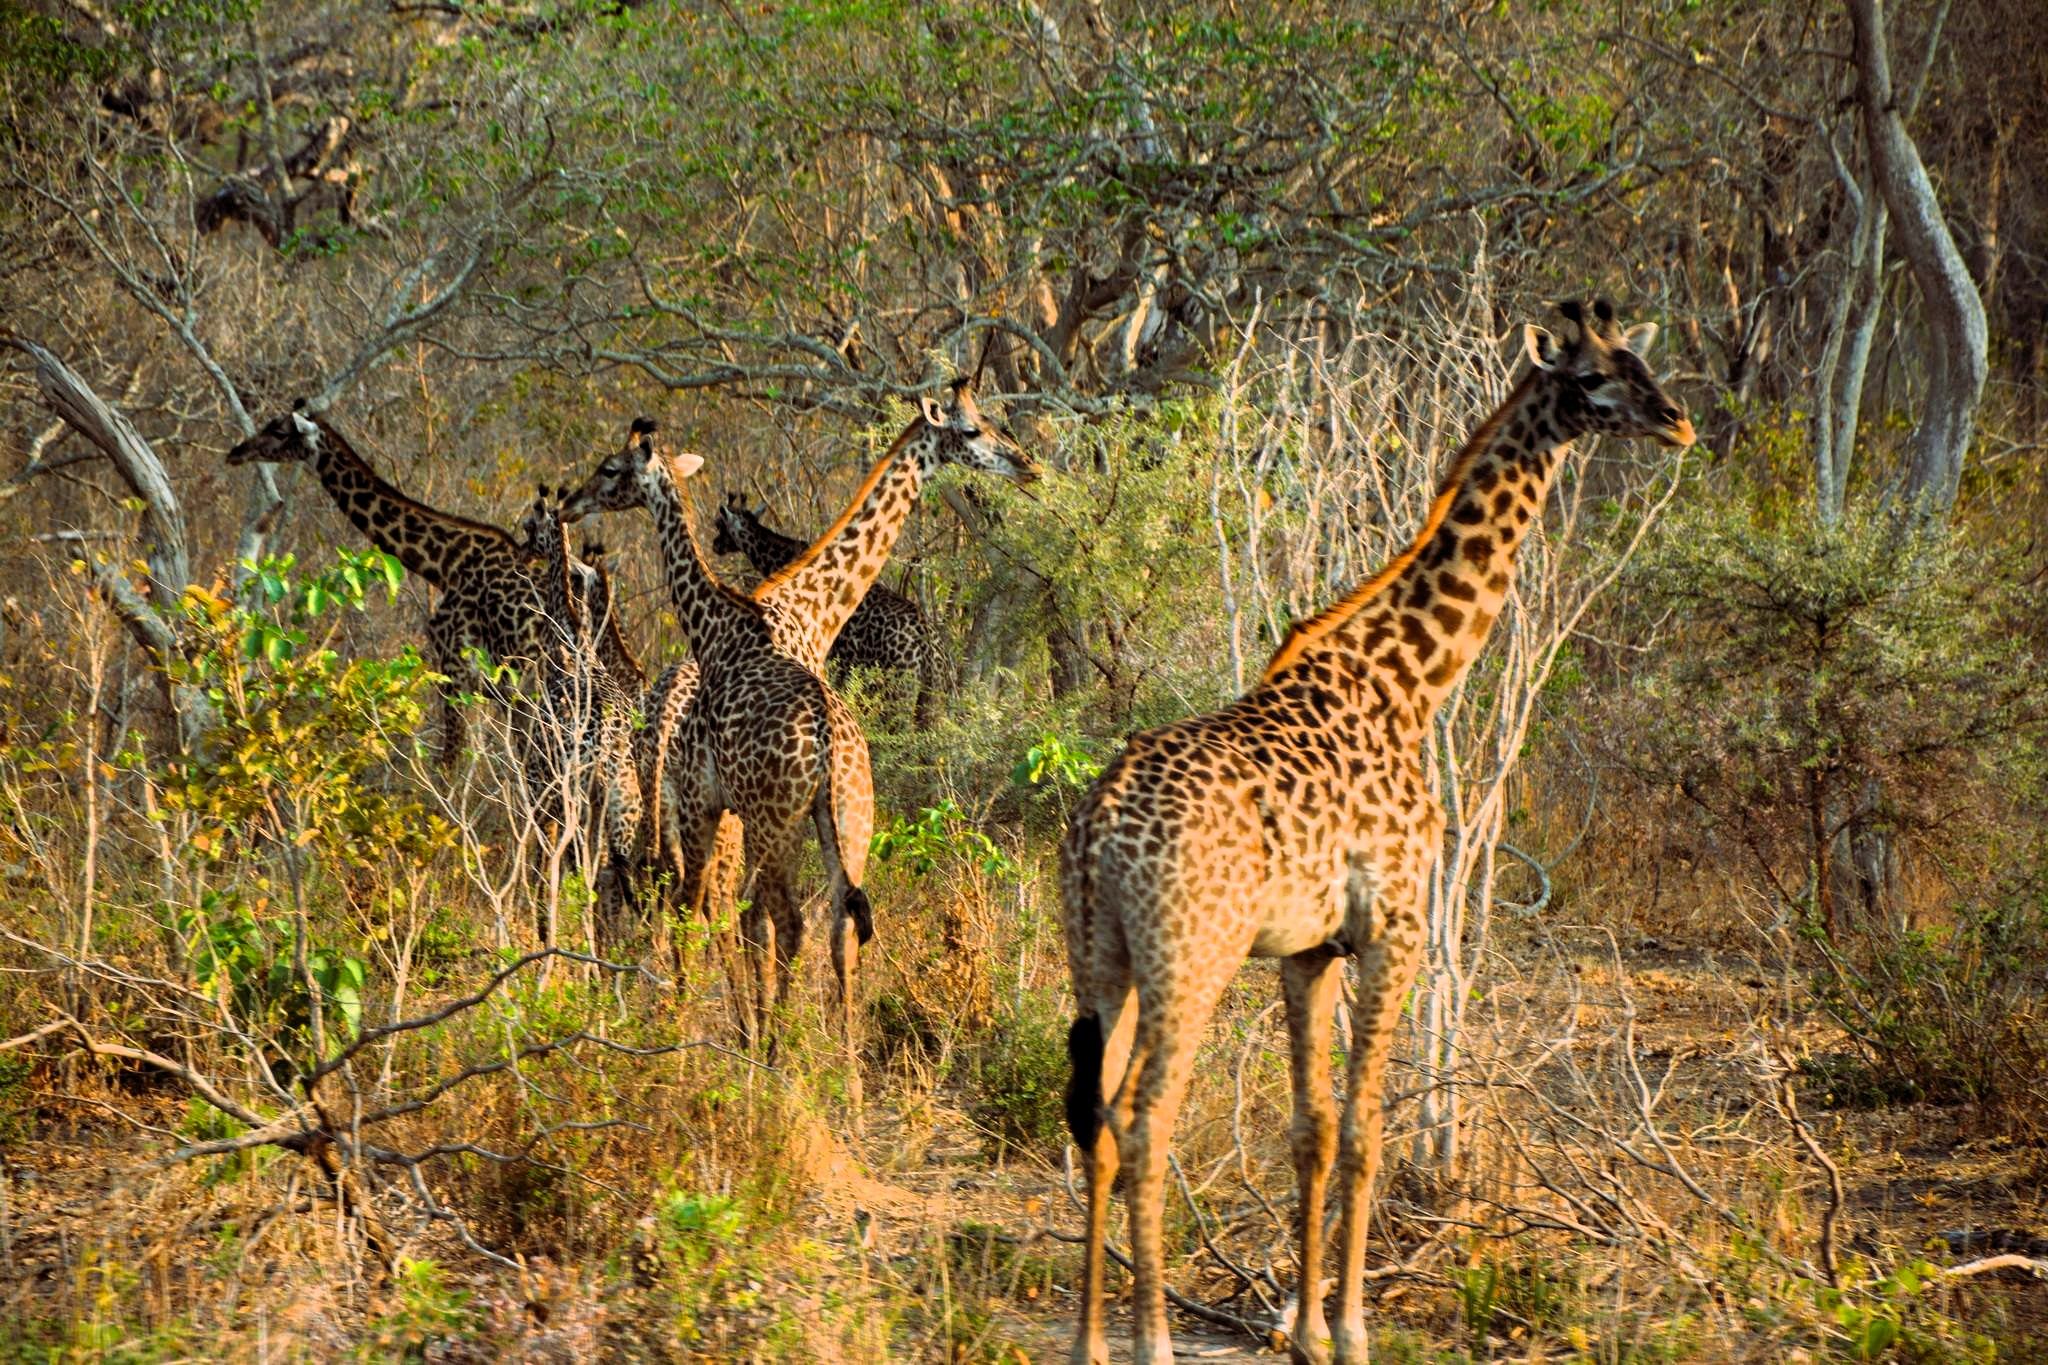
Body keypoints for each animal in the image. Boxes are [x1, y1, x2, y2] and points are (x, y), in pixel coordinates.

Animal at [561, 420, 875, 1089]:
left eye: (609, 469)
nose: (570, 502)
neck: (717, 631)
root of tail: (831, 746)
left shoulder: (702, 803)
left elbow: (695, 910)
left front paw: (680, 1038)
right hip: (847, 823)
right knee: (842, 926)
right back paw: (849, 1079)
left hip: (773, 821)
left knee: (786, 922)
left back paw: (775, 1059)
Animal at [1059, 301, 1694, 1365]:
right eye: (1596, 378)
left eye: (1641, 361)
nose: (1680, 422)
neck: (1412, 679)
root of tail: (1101, 823)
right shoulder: (1394, 925)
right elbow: (1365, 1131)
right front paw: (1352, 1330)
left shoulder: (1307, 947)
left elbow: (1311, 1129)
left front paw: (1305, 1328)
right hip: (1191, 955)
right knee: (1145, 1121)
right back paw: (1151, 1342)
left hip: (1099, 956)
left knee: (1096, 1118)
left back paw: (1090, 1343)